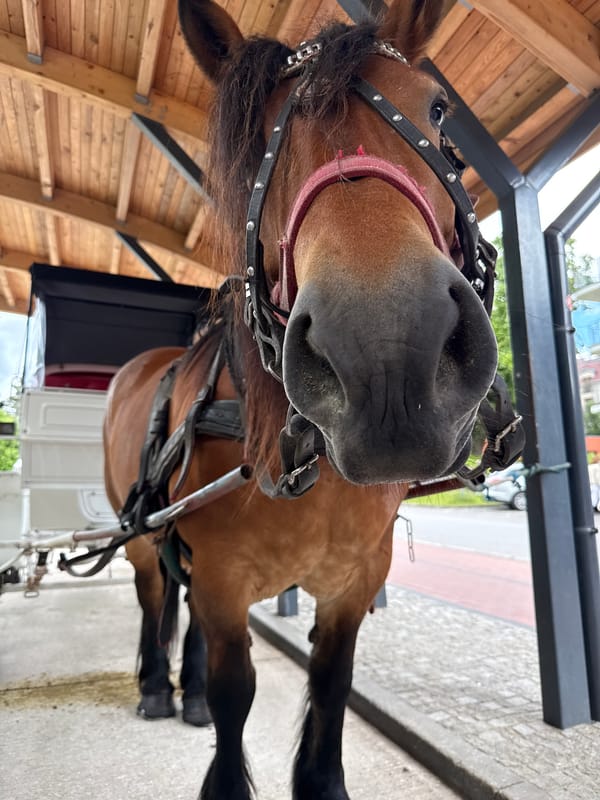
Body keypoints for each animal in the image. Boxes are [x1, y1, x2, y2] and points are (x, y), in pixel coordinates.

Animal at [103, 0, 501, 797]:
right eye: (261, 140)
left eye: (437, 109)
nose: (388, 358)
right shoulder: (223, 582)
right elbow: (237, 693)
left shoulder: (354, 582)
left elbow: (330, 684)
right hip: (139, 536)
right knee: (154, 596)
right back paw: (160, 687)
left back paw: (186, 691)